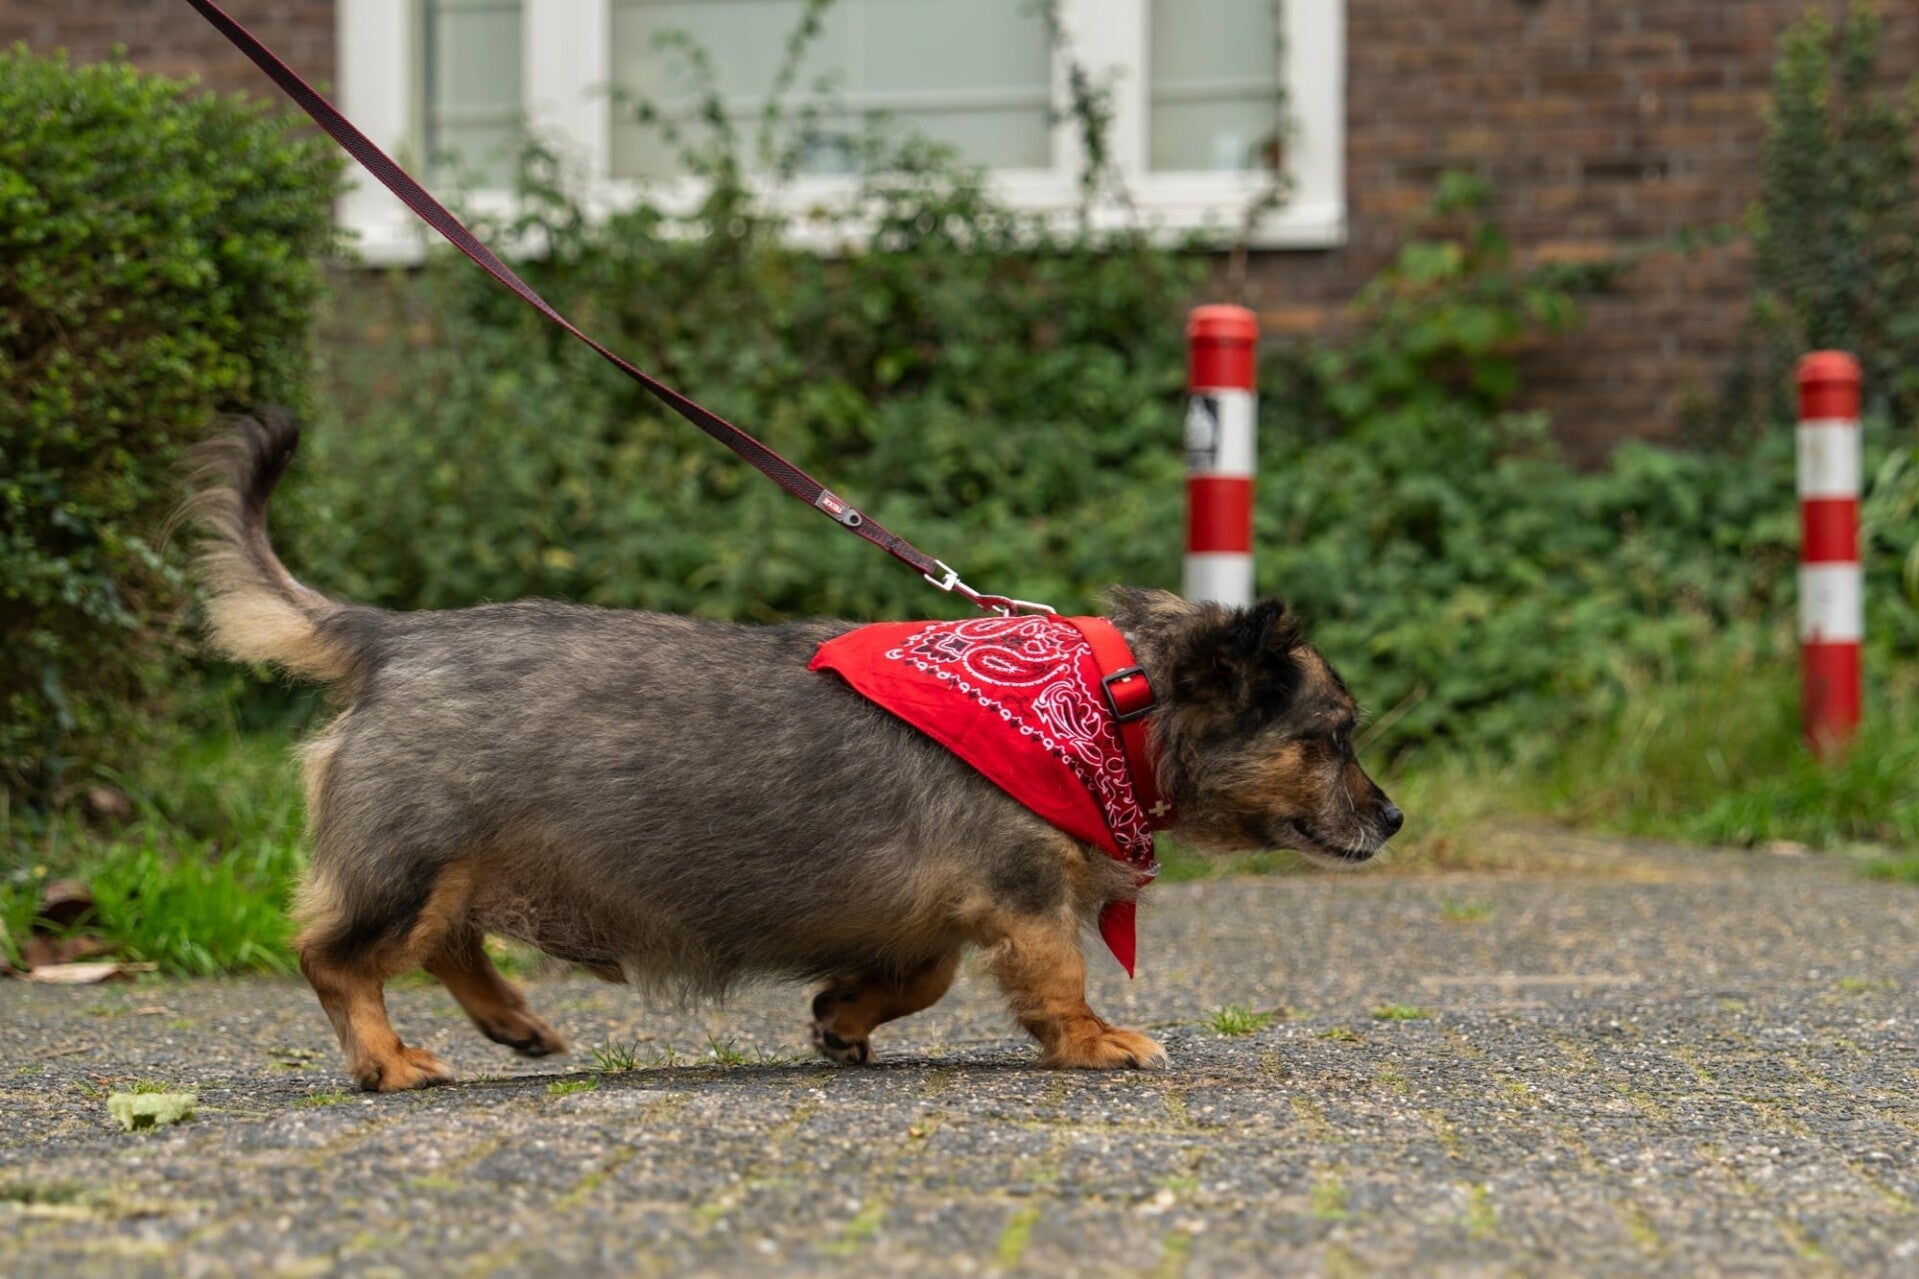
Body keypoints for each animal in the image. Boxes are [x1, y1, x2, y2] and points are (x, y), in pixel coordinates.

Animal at [185, 413, 1402, 1091]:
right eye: (1331, 736)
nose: (1392, 817)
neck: (1102, 700)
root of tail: (390, 636)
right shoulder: (1023, 899)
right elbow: (1053, 977)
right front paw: (1096, 1040)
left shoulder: (939, 911)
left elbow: (920, 973)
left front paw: (842, 1018)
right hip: (407, 863)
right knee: (338, 958)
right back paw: (386, 1060)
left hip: (449, 870)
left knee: (445, 946)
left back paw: (513, 1021)